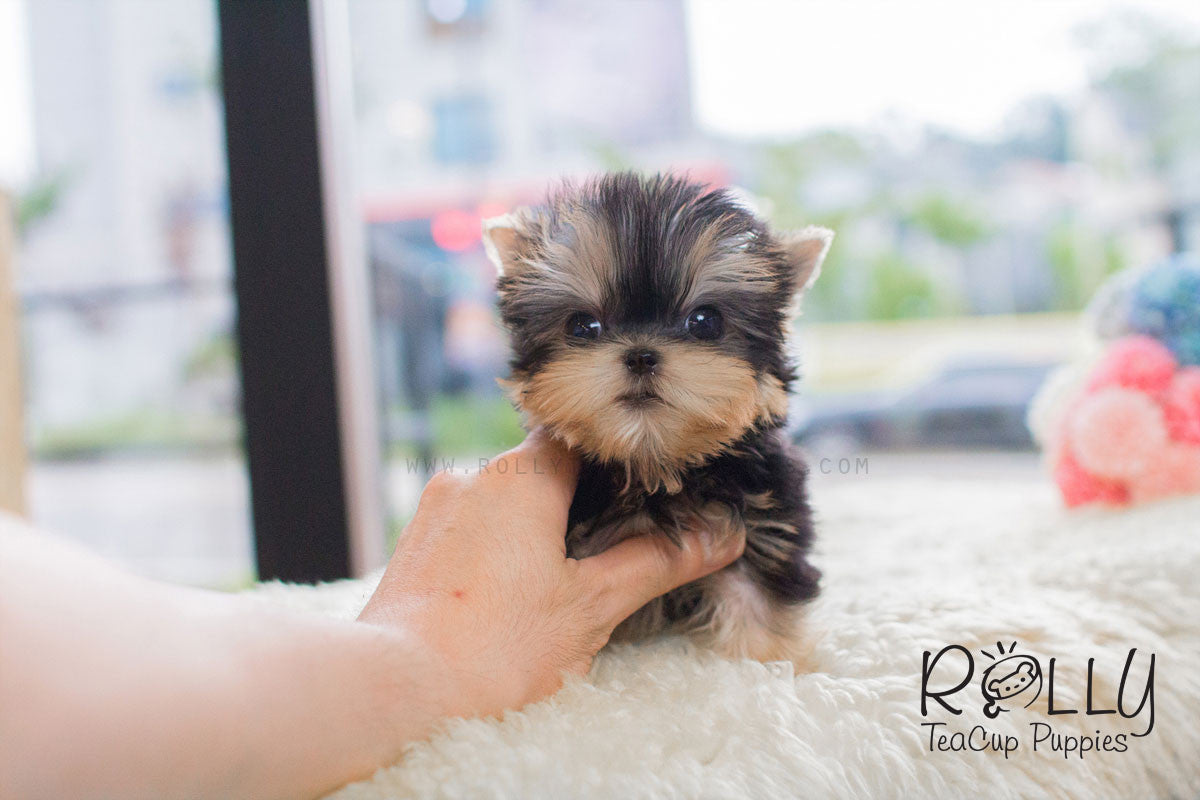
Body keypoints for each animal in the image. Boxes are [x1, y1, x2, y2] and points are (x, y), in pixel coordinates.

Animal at [482, 170, 830, 662]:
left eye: (704, 321)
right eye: (582, 326)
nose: (641, 355)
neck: (654, 466)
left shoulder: (764, 522)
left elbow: (755, 600)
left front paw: (767, 662)